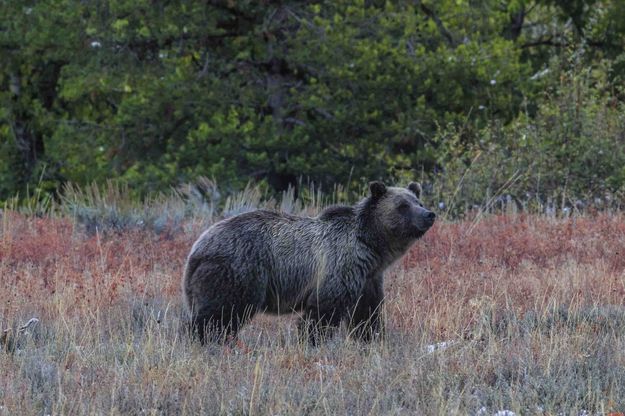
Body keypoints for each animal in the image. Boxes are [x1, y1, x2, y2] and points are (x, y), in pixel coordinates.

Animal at [180, 182, 434, 344]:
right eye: (402, 206)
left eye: (418, 201)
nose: (429, 214)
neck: (370, 247)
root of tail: (197, 248)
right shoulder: (339, 265)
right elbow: (323, 311)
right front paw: (312, 341)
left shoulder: (368, 278)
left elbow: (367, 313)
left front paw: (371, 339)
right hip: (239, 269)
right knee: (221, 311)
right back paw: (204, 340)